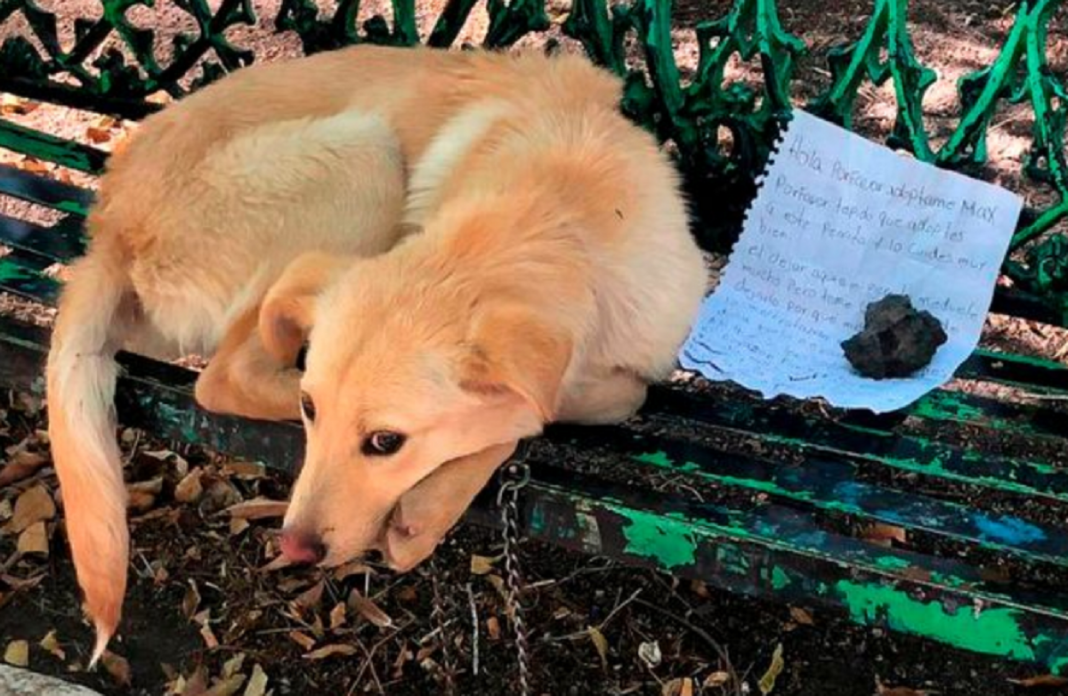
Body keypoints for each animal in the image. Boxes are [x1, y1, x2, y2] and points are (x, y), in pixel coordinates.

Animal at [45, 44, 709, 661]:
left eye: (386, 442)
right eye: (312, 411)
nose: (295, 548)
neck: (555, 214)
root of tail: (109, 225)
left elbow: (586, 397)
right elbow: (550, 409)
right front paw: (436, 501)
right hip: (363, 154)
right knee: (224, 376)